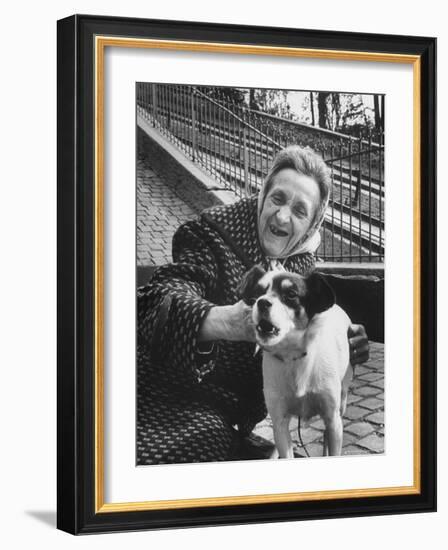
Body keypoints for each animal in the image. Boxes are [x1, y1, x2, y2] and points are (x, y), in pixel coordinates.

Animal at [240, 266, 352, 460]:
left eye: (291, 294)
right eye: (258, 292)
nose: (262, 302)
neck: (292, 356)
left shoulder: (332, 419)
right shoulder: (280, 420)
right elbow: (284, 448)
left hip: (341, 402)